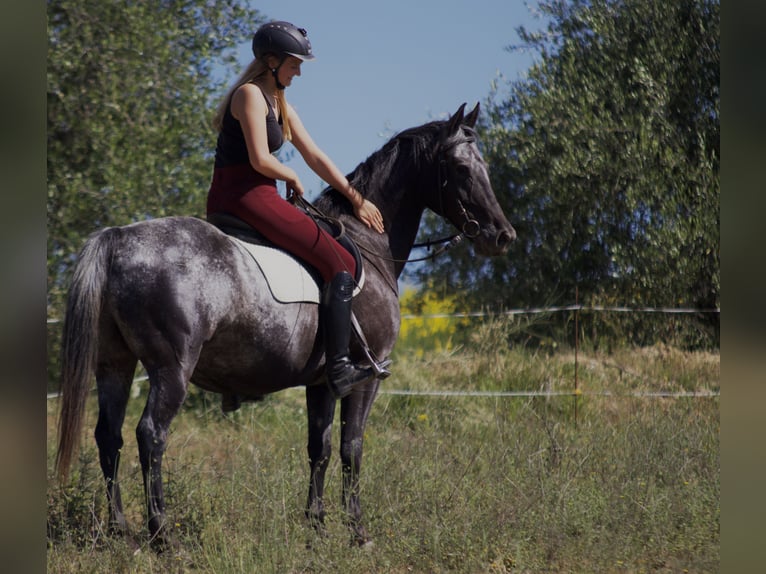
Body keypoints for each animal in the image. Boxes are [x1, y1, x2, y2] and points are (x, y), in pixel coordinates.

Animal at [57, 102, 520, 548]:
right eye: (460, 168)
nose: (502, 236)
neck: (368, 242)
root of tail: (119, 238)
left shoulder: (322, 383)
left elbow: (320, 448)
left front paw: (316, 527)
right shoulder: (367, 378)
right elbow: (352, 449)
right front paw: (357, 531)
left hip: (115, 366)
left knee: (109, 437)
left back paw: (119, 529)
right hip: (171, 370)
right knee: (151, 435)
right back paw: (161, 534)